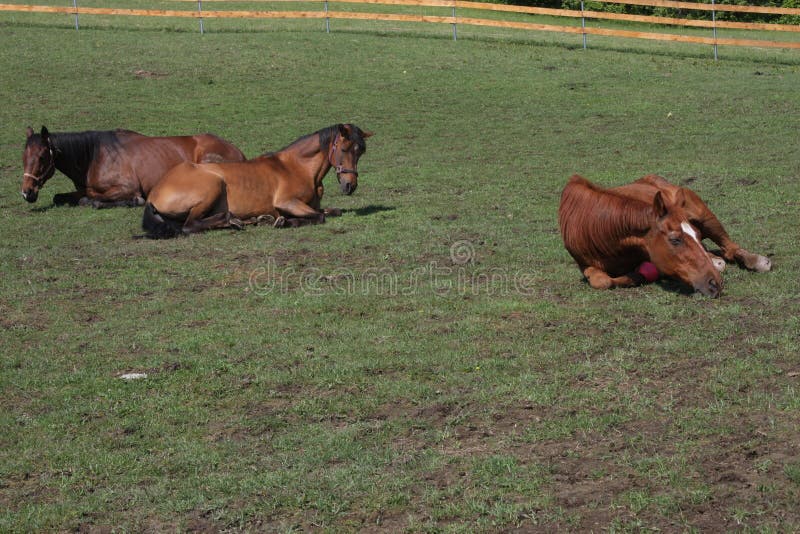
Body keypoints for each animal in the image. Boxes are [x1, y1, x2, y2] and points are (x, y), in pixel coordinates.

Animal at [21, 126, 246, 208]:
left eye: (42, 157)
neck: (94, 157)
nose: (27, 192)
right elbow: (60, 197)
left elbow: (93, 199)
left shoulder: (126, 187)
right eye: (23, 157)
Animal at [142, 123, 372, 238]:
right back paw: (232, 219)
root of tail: (154, 193)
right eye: (344, 149)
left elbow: (332, 211)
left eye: (361, 152)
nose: (350, 185)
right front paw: (284, 221)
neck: (298, 168)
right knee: (190, 225)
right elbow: (319, 216)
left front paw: (273, 220)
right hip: (213, 185)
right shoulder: (287, 202)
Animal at [558, 174, 771, 297]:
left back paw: (756, 260)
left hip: (704, 215)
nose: (715, 283)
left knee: (729, 248)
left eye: (695, 234)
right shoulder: (584, 265)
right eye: (675, 239)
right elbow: (602, 281)